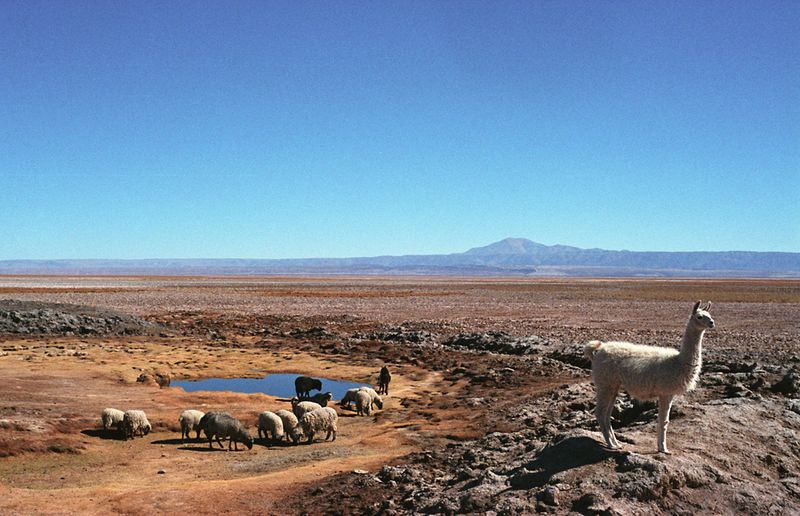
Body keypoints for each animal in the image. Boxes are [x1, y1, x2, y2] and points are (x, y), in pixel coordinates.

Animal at [584, 300, 716, 454]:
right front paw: (664, 449)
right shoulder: (665, 392)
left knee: (606, 414)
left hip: (612, 386)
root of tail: (598, 351)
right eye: (700, 317)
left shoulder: (669, 393)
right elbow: (663, 421)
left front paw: (661, 447)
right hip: (605, 383)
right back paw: (611, 445)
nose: (712, 323)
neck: (678, 362)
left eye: (710, 315)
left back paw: (616, 443)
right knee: (600, 413)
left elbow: (664, 421)